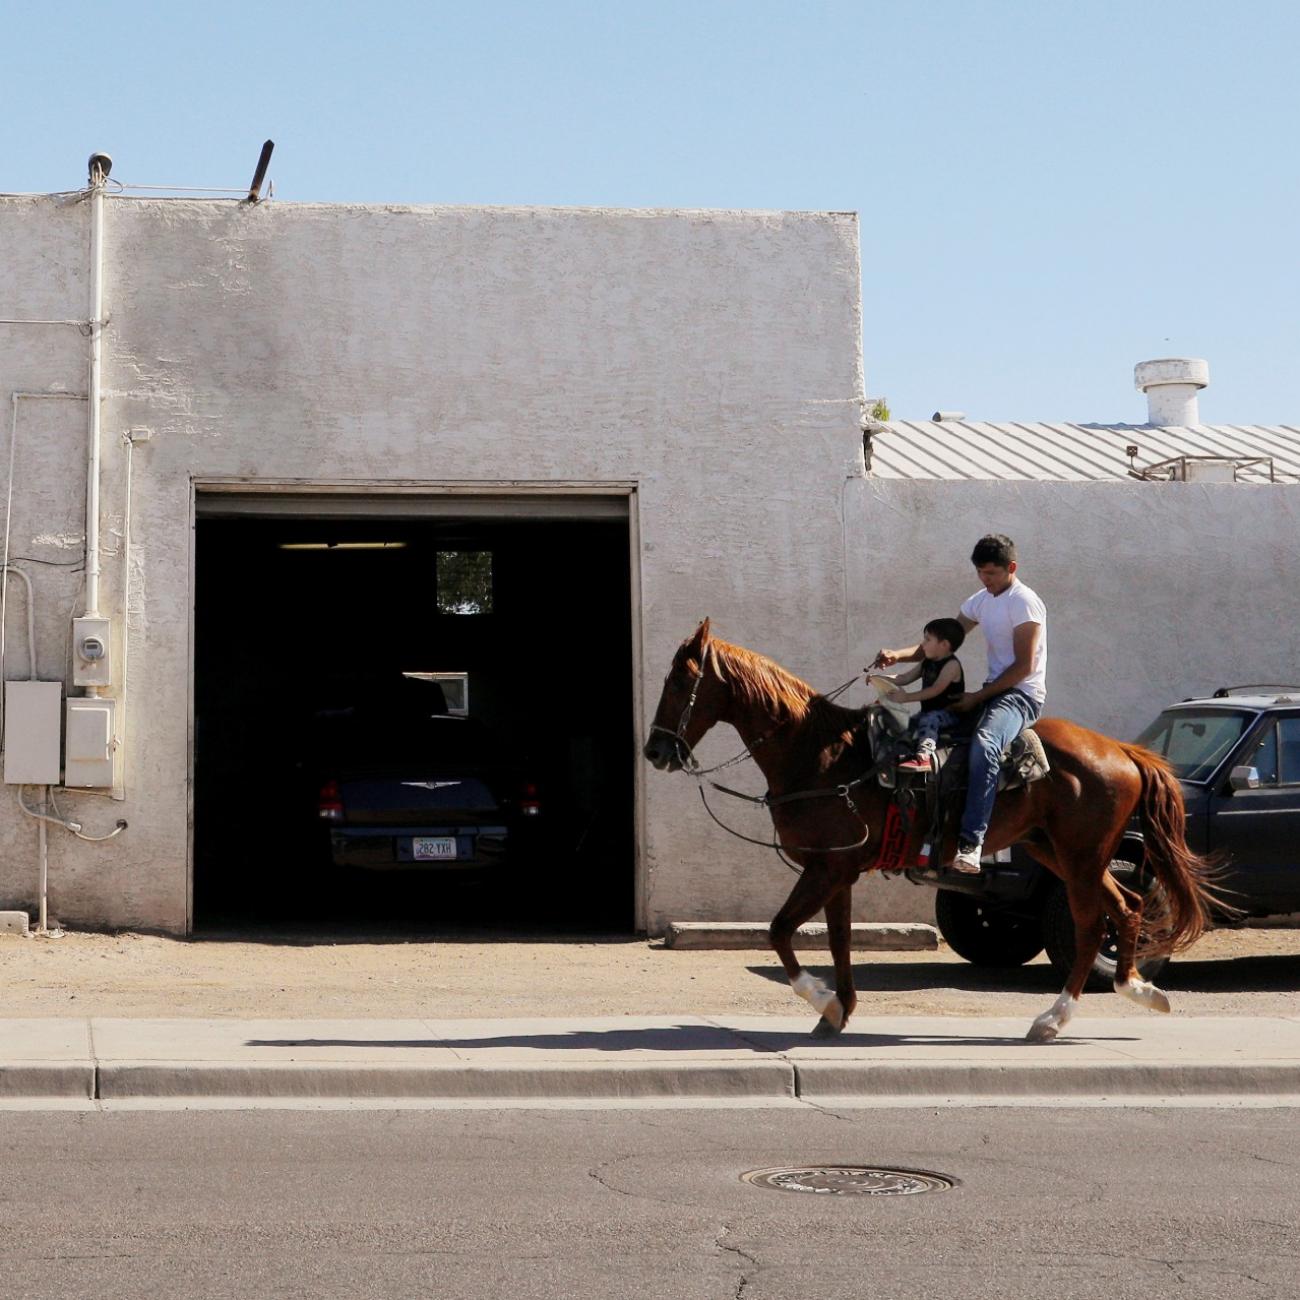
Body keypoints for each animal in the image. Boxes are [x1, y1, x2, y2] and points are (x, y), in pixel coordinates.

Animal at [644, 618, 1222, 1045]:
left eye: (679, 682)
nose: (654, 751)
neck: (820, 755)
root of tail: (1122, 750)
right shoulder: (838, 868)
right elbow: (837, 940)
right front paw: (838, 1011)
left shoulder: (826, 866)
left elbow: (781, 930)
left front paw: (821, 998)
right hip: (1061, 853)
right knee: (1126, 906)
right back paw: (1139, 989)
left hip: (1079, 857)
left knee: (1088, 927)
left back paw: (1053, 1019)